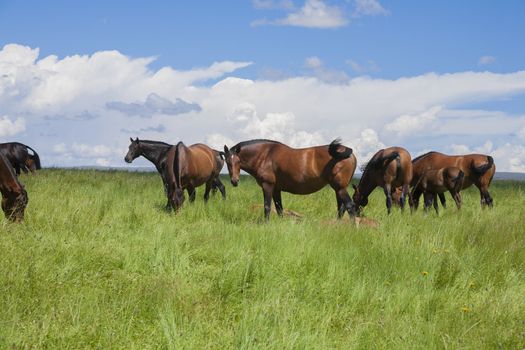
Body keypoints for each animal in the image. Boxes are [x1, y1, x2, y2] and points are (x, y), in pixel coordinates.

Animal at [221, 139, 356, 219]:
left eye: (238, 161)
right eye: (227, 162)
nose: (234, 181)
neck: (265, 155)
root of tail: (350, 153)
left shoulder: (267, 186)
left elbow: (267, 207)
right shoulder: (276, 189)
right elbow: (279, 209)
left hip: (340, 188)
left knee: (350, 206)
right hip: (338, 189)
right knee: (341, 208)